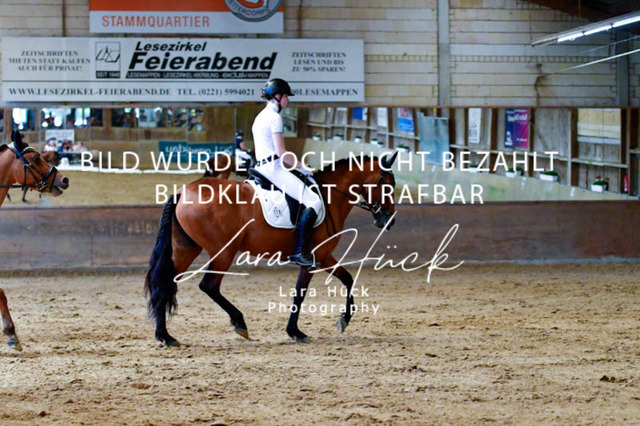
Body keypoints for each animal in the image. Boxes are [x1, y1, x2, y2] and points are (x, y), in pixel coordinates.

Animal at [145, 153, 398, 346]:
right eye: (388, 185)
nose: (389, 220)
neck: (330, 196)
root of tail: (183, 193)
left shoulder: (324, 257)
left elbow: (347, 279)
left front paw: (342, 320)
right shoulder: (315, 258)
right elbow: (301, 293)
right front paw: (297, 331)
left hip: (187, 249)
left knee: (165, 284)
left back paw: (164, 336)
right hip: (224, 251)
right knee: (209, 286)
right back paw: (239, 323)